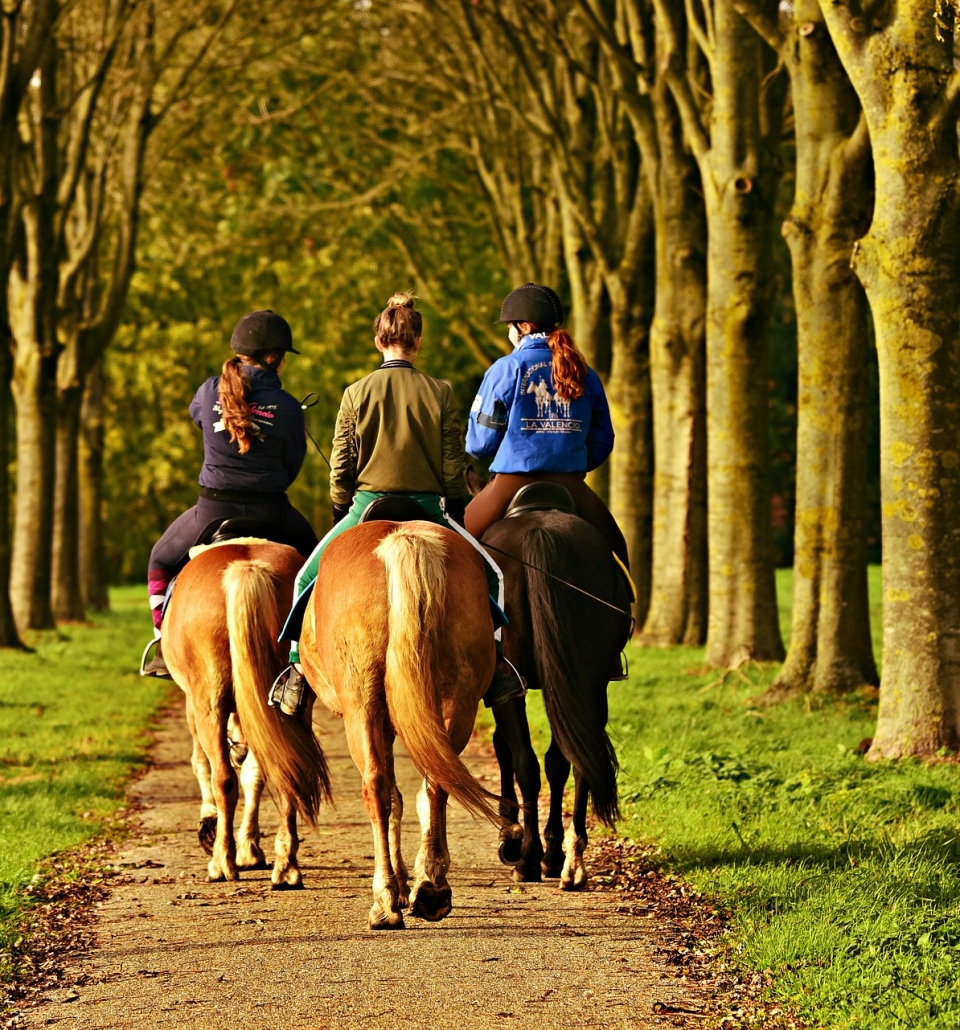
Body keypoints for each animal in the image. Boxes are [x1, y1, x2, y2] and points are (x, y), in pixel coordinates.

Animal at [161, 539, 329, 885]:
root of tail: (246, 568)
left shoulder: (192, 704)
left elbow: (201, 763)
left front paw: (210, 827)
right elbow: (254, 773)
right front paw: (250, 850)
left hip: (208, 702)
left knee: (223, 778)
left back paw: (221, 863)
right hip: (292, 706)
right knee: (286, 769)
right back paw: (286, 866)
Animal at [484, 510, 634, 889]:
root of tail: (539, 532)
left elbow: (506, 749)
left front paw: (512, 838)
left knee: (526, 764)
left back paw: (528, 859)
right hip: (588, 683)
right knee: (578, 759)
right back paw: (570, 861)